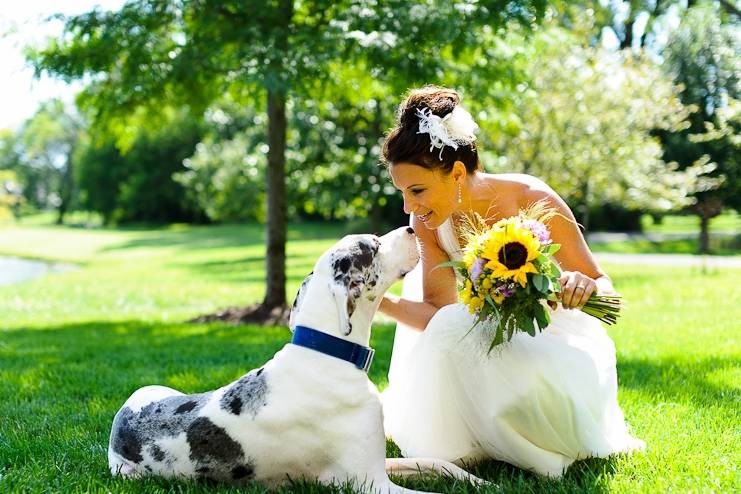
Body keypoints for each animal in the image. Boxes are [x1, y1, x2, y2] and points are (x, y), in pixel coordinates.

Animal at [107, 228, 482, 494]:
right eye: (373, 245)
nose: (410, 227)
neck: (328, 353)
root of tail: (119, 419)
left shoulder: (379, 464)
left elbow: (438, 464)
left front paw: (481, 481)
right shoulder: (370, 483)